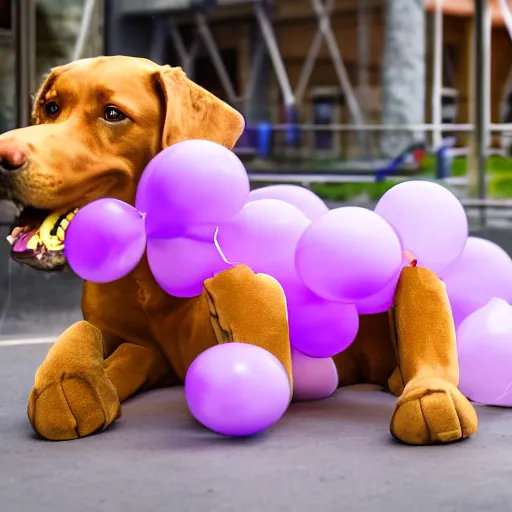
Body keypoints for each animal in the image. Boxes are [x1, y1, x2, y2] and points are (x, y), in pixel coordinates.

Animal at [1, 57, 480, 444]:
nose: (4, 153)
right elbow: (94, 342)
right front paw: (72, 383)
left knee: (429, 343)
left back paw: (429, 398)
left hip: (414, 275)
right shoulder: (145, 348)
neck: (144, 273)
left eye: (113, 114)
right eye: (50, 108)